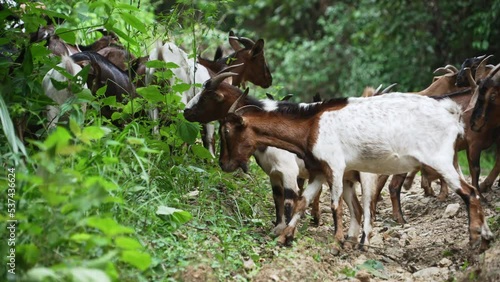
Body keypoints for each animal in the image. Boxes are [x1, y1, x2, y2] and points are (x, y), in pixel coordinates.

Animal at [185, 71, 378, 248]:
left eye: (205, 97)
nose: (185, 111)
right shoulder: (273, 172)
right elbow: (277, 197)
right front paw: (278, 228)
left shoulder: (289, 170)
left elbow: (289, 199)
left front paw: (288, 234)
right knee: (356, 208)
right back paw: (349, 238)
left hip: (366, 174)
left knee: (368, 205)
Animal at [218, 89, 492, 250]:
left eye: (227, 131)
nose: (223, 164)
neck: (311, 126)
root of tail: (450, 112)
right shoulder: (318, 172)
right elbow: (302, 202)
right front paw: (286, 236)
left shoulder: (335, 166)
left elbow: (335, 205)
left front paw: (336, 241)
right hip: (451, 159)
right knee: (472, 191)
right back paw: (486, 235)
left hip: (439, 161)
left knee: (469, 192)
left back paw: (473, 239)